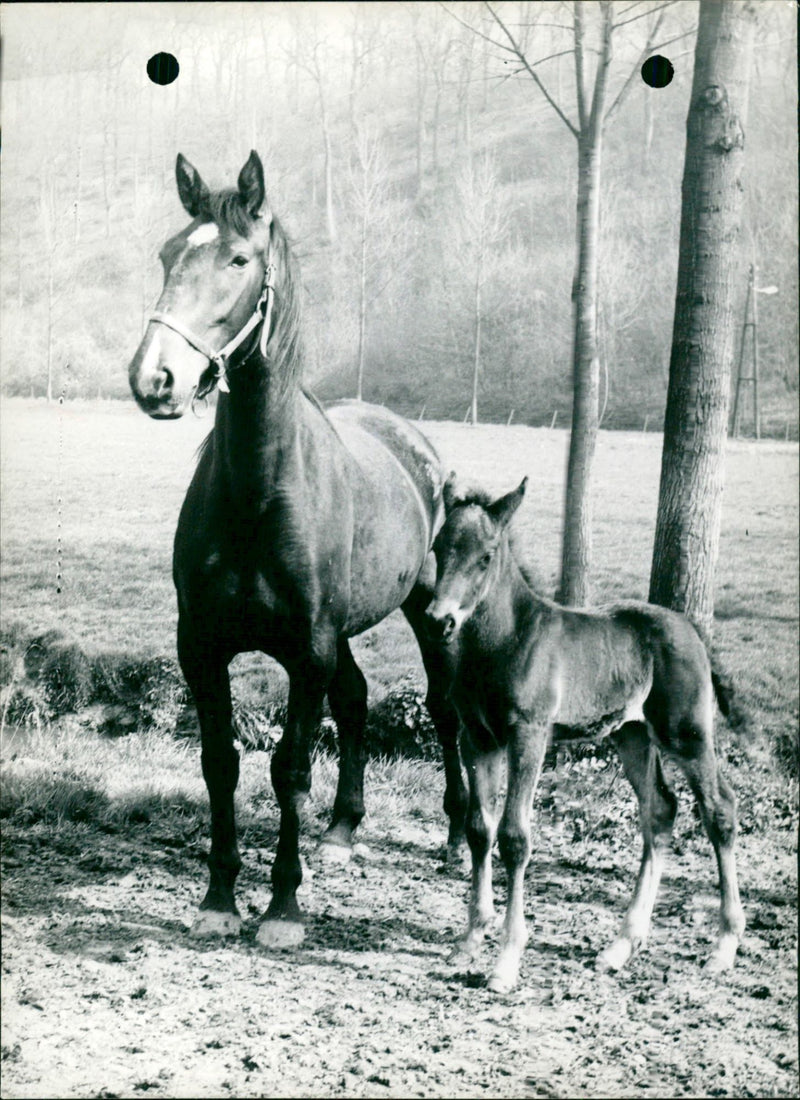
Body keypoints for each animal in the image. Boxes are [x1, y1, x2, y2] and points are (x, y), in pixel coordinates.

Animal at [127, 150, 466, 949]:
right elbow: (221, 762)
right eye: (166, 254)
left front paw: (282, 908)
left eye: (238, 259)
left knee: (444, 711)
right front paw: (220, 898)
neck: (260, 489)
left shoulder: (306, 650)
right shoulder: (204, 647)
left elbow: (289, 769)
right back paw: (340, 831)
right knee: (357, 697)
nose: (155, 378)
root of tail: (415, 445)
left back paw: (457, 841)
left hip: (425, 615)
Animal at [424, 474, 745, 993]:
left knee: (719, 809)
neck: (506, 640)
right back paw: (621, 946)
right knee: (660, 810)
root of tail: (692, 630)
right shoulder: (478, 738)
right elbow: (478, 830)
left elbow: (515, 837)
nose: (439, 621)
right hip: (631, 735)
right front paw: (470, 938)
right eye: (438, 547)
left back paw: (724, 945)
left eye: (487, 556)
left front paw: (506, 960)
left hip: (686, 732)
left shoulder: (529, 734)